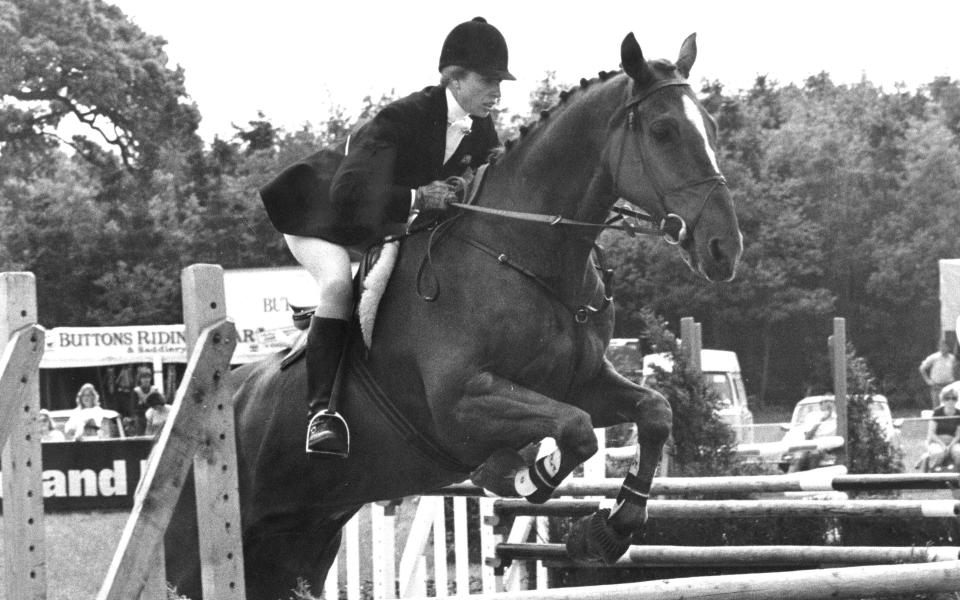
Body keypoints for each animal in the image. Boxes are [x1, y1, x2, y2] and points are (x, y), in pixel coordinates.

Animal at [167, 32, 744, 600]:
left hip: (295, 552)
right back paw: (325, 431)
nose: (725, 249)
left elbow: (654, 412)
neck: (522, 251)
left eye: (713, 127)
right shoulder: (461, 401)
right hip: (195, 555)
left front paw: (608, 528)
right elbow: (575, 431)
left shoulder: (580, 382)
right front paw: (517, 476)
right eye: (663, 131)